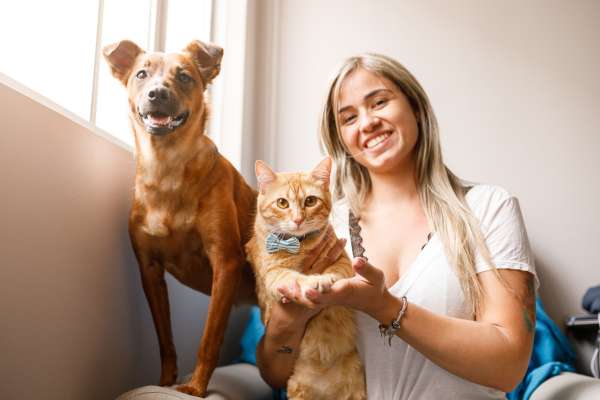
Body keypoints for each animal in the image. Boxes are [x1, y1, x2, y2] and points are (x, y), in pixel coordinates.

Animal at [103, 39, 258, 396]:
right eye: (141, 74)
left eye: (185, 76)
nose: (158, 93)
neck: (167, 169)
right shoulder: (149, 270)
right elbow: (166, 341)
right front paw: (164, 383)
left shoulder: (225, 262)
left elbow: (209, 338)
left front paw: (195, 387)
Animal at [244, 158, 366, 398]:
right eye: (282, 203)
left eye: (310, 201)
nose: (298, 219)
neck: (299, 244)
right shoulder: (273, 273)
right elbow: (294, 278)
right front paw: (311, 282)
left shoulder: (343, 261)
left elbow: (336, 272)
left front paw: (326, 279)